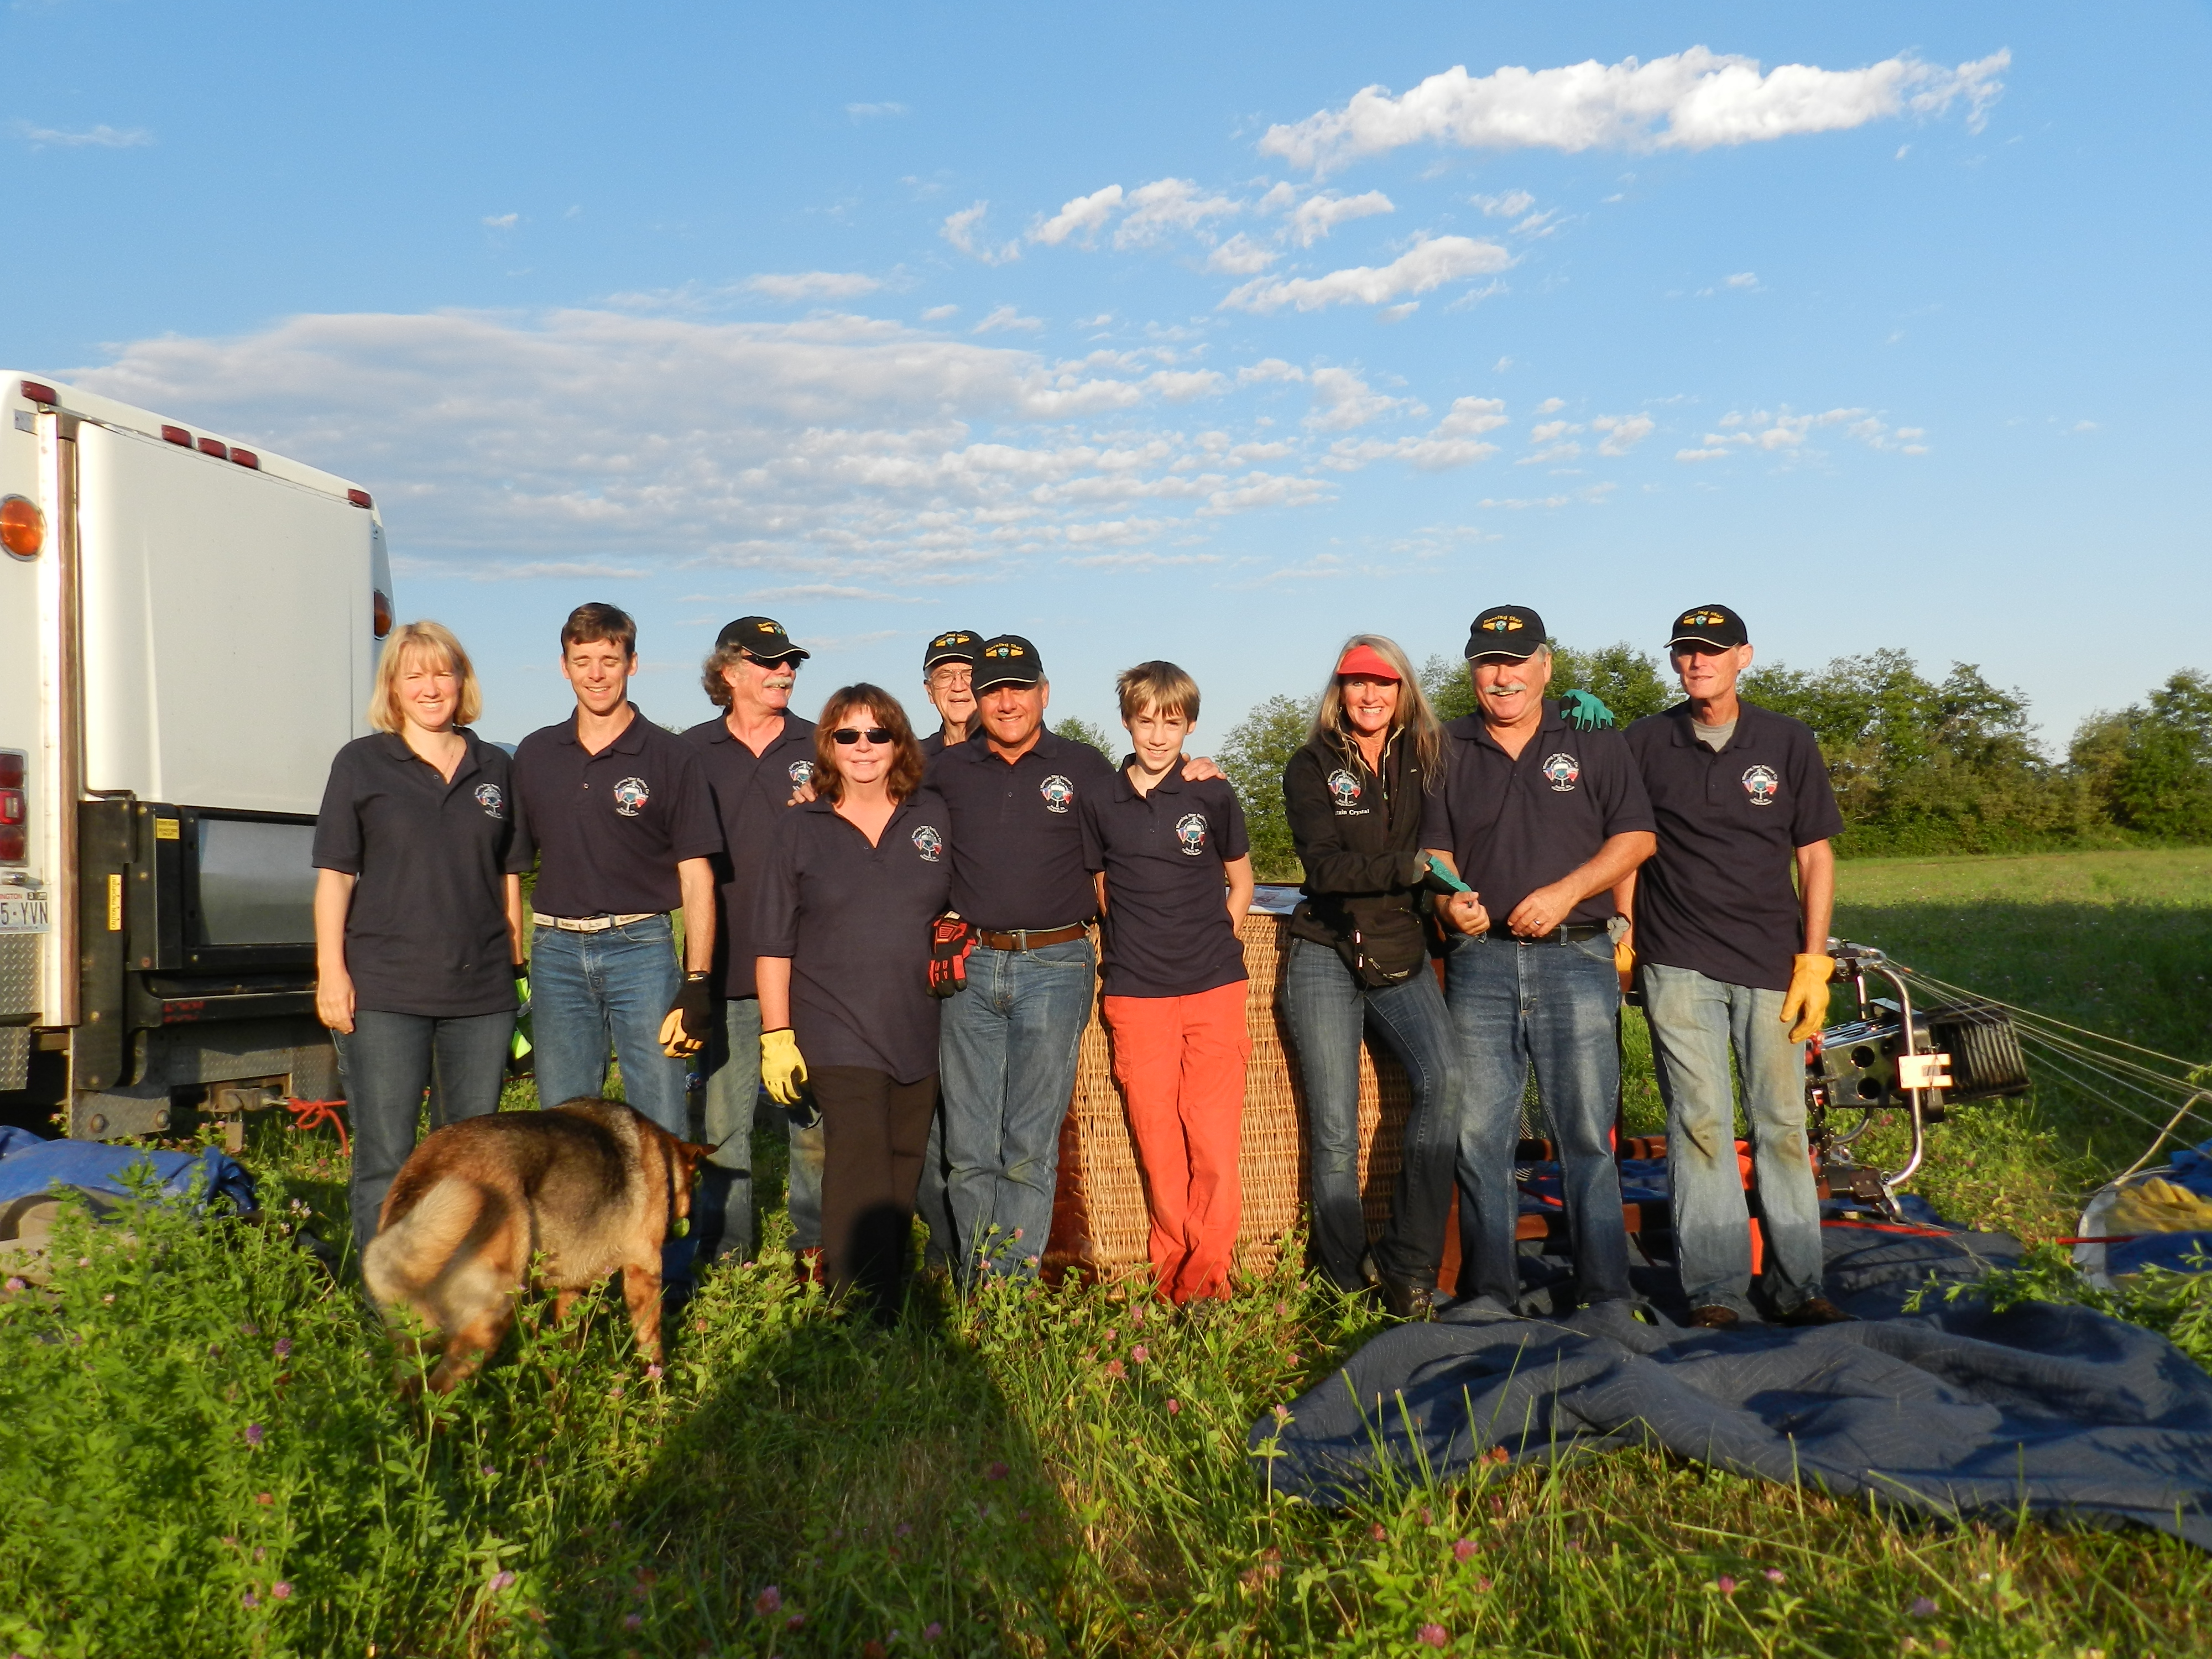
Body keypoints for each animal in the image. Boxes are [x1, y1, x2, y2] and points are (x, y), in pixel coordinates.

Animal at [361, 1110, 708, 1398]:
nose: (692, 1221)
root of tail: (429, 1168)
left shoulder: (569, 1289)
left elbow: (565, 1347)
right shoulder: (644, 1270)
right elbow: (651, 1344)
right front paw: (659, 1391)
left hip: (412, 1338)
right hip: (488, 1322)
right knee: (437, 1393)